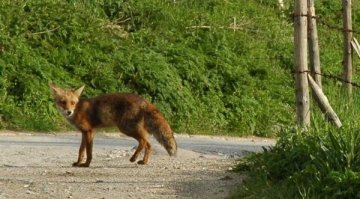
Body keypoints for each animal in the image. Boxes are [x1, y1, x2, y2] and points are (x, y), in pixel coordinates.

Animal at [47, 83, 177, 167]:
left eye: (73, 103)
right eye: (63, 102)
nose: (69, 112)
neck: (78, 110)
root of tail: (144, 100)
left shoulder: (89, 131)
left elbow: (89, 152)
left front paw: (86, 164)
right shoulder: (84, 133)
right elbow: (81, 151)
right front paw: (78, 163)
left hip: (126, 128)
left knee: (143, 141)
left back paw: (133, 158)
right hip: (133, 129)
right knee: (148, 144)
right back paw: (143, 162)